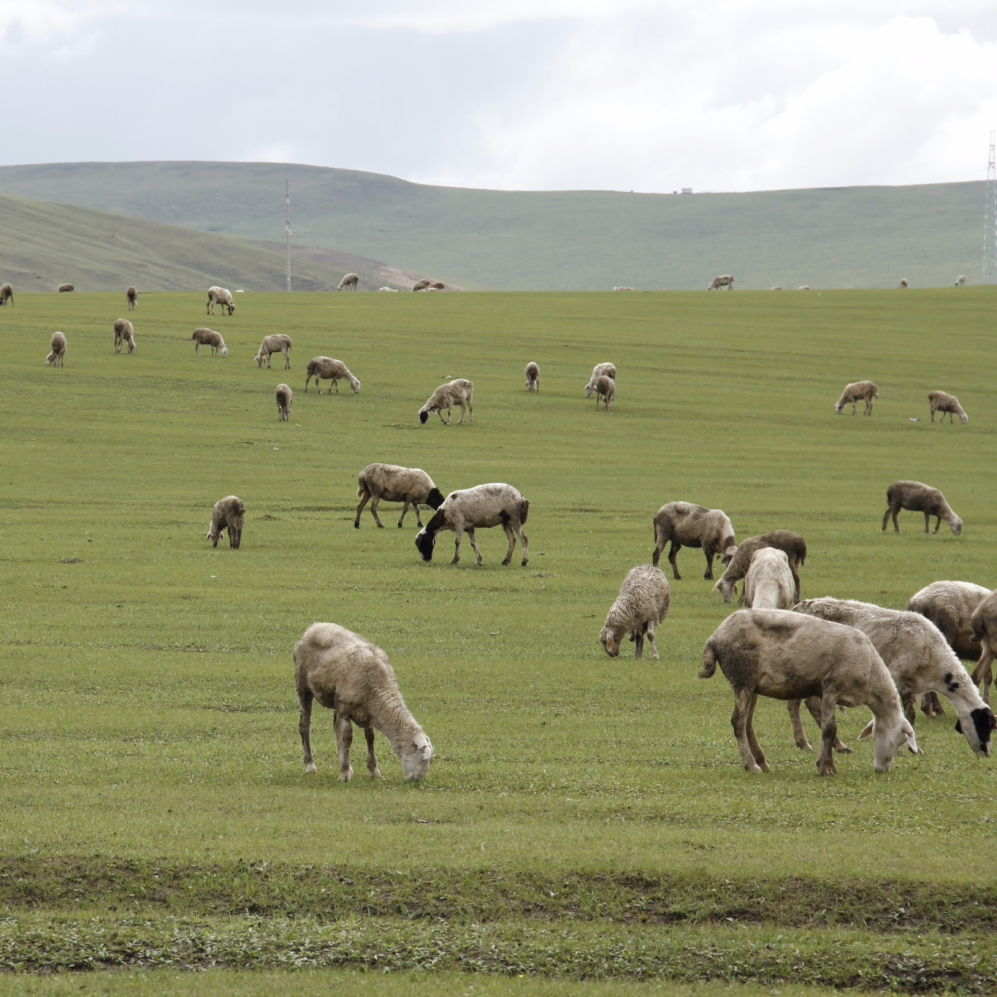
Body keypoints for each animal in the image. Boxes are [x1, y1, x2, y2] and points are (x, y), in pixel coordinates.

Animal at [296, 620, 436, 784]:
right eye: (422, 759)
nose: (417, 780)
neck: (378, 685)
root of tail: (315, 626)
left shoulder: (368, 711)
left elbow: (370, 737)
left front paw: (373, 770)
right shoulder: (345, 708)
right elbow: (347, 737)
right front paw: (344, 774)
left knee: (336, 727)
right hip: (303, 686)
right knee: (305, 725)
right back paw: (310, 765)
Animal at [696, 608, 916, 780]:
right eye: (899, 740)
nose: (882, 769)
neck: (871, 674)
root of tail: (715, 636)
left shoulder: (827, 693)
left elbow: (830, 729)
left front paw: (831, 766)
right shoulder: (830, 688)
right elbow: (829, 729)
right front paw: (823, 767)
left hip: (753, 686)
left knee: (747, 723)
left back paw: (763, 762)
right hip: (743, 677)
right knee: (738, 721)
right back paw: (752, 765)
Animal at [788, 600, 992, 756]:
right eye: (984, 725)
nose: (987, 752)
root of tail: (797, 607)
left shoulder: (910, 687)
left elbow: (910, 716)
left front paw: (914, 749)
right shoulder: (892, 678)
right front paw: (899, 749)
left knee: (801, 704)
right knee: (804, 705)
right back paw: (825, 744)